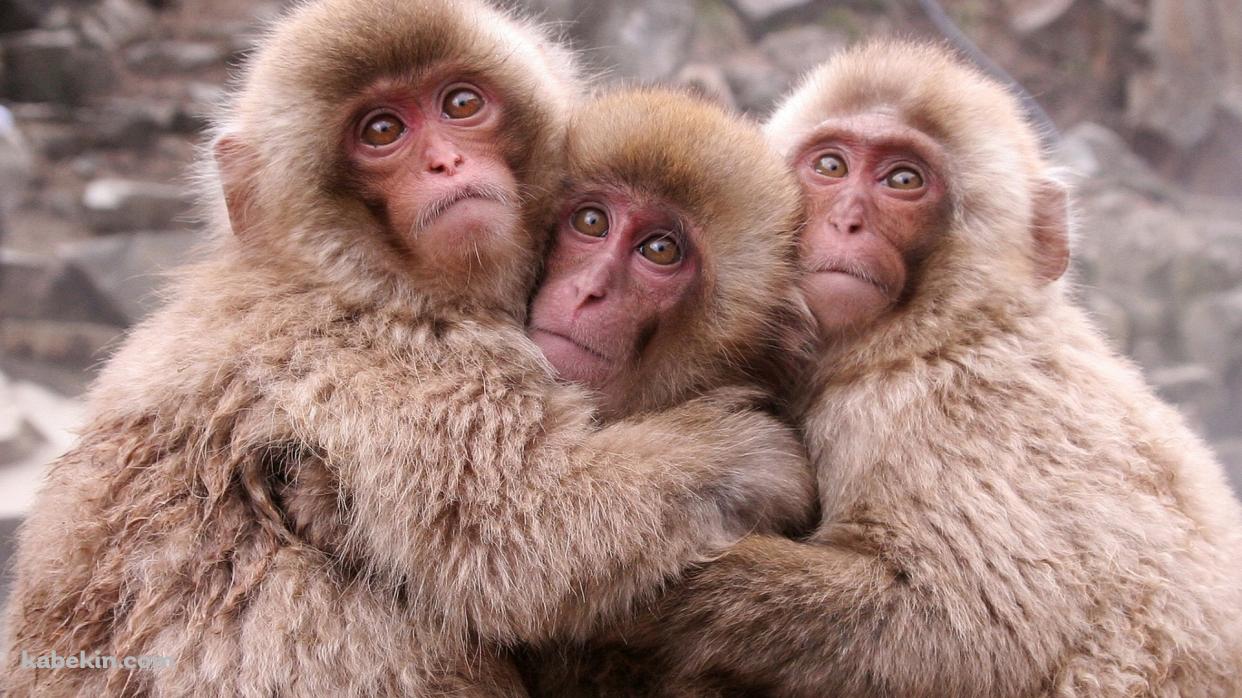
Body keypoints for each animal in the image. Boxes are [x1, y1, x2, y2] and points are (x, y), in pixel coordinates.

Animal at [0, 1, 816, 695]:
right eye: (382, 131)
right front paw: (750, 453)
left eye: (460, 104)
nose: (445, 165)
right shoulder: (384, 358)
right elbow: (521, 529)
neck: (354, 273)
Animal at [523, 40, 1242, 697]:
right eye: (830, 165)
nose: (846, 220)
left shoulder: (928, 411)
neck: (930, 333)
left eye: (903, 181)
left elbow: (962, 629)